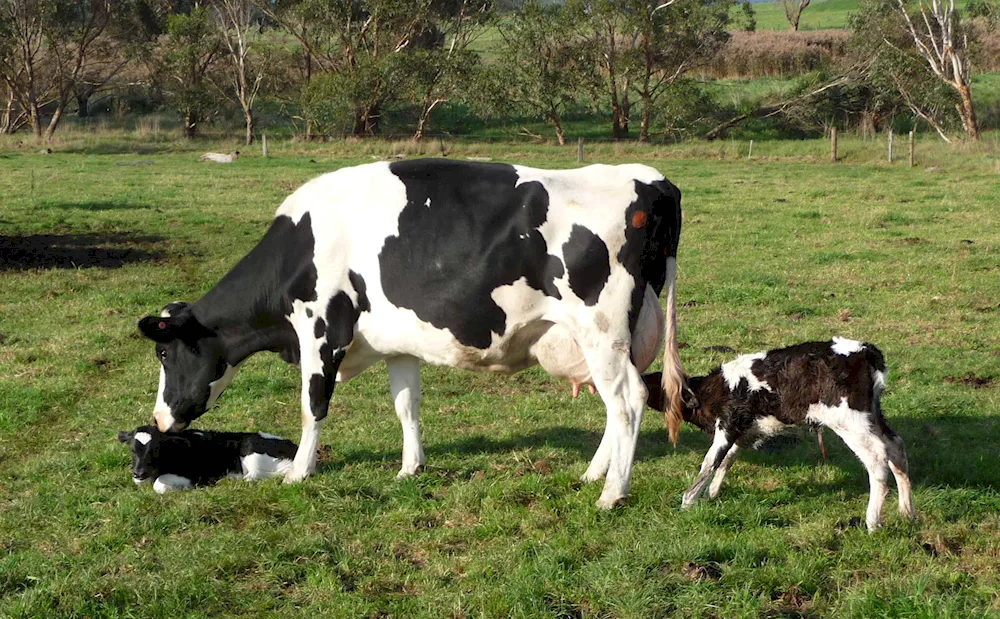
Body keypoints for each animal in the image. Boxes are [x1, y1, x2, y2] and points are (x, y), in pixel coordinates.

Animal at [117, 426, 296, 494]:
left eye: (155, 450)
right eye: (132, 450)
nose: (138, 473)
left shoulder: (192, 474)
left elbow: (159, 485)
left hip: (251, 450)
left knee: (256, 475)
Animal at [139, 159, 688, 508]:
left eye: (165, 353)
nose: (160, 418)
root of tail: (651, 180)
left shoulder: (320, 330)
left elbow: (313, 406)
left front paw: (299, 471)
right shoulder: (397, 344)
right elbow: (407, 405)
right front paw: (410, 467)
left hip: (602, 330)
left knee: (629, 401)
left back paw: (612, 493)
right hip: (619, 338)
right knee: (620, 405)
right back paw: (595, 473)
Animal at [648, 336, 916, 532]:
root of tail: (864, 351)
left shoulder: (727, 425)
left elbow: (711, 461)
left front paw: (688, 501)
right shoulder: (744, 429)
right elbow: (727, 459)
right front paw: (712, 494)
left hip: (850, 422)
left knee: (877, 459)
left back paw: (873, 522)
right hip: (872, 414)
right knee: (896, 446)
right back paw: (907, 512)